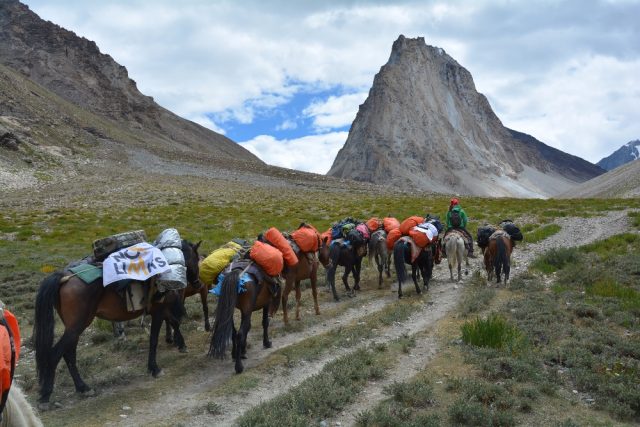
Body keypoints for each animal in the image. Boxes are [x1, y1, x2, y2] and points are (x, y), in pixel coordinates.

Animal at [32, 239, 201, 406]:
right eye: (196, 259)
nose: (198, 283)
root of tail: (64, 277)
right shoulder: (158, 312)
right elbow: (154, 339)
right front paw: (154, 368)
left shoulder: (163, 309)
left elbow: (174, 322)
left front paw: (181, 345)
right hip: (77, 326)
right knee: (56, 354)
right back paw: (46, 395)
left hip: (74, 327)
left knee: (69, 354)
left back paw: (83, 388)